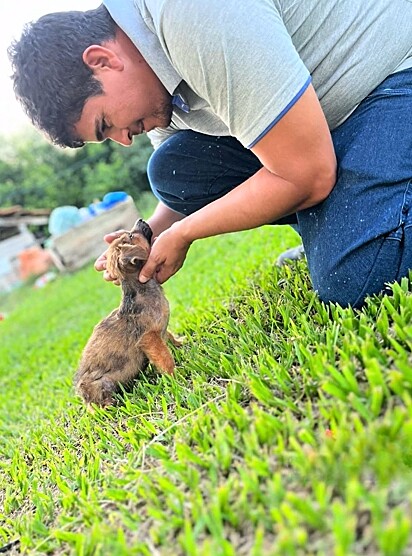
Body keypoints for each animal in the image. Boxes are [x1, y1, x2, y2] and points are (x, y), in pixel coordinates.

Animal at [75, 218, 178, 408]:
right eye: (130, 236)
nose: (140, 219)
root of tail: (82, 397)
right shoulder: (149, 338)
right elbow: (165, 358)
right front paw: (174, 377)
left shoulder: (159, 331)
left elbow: (170, 337)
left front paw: (181, 343)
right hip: (102, 386)